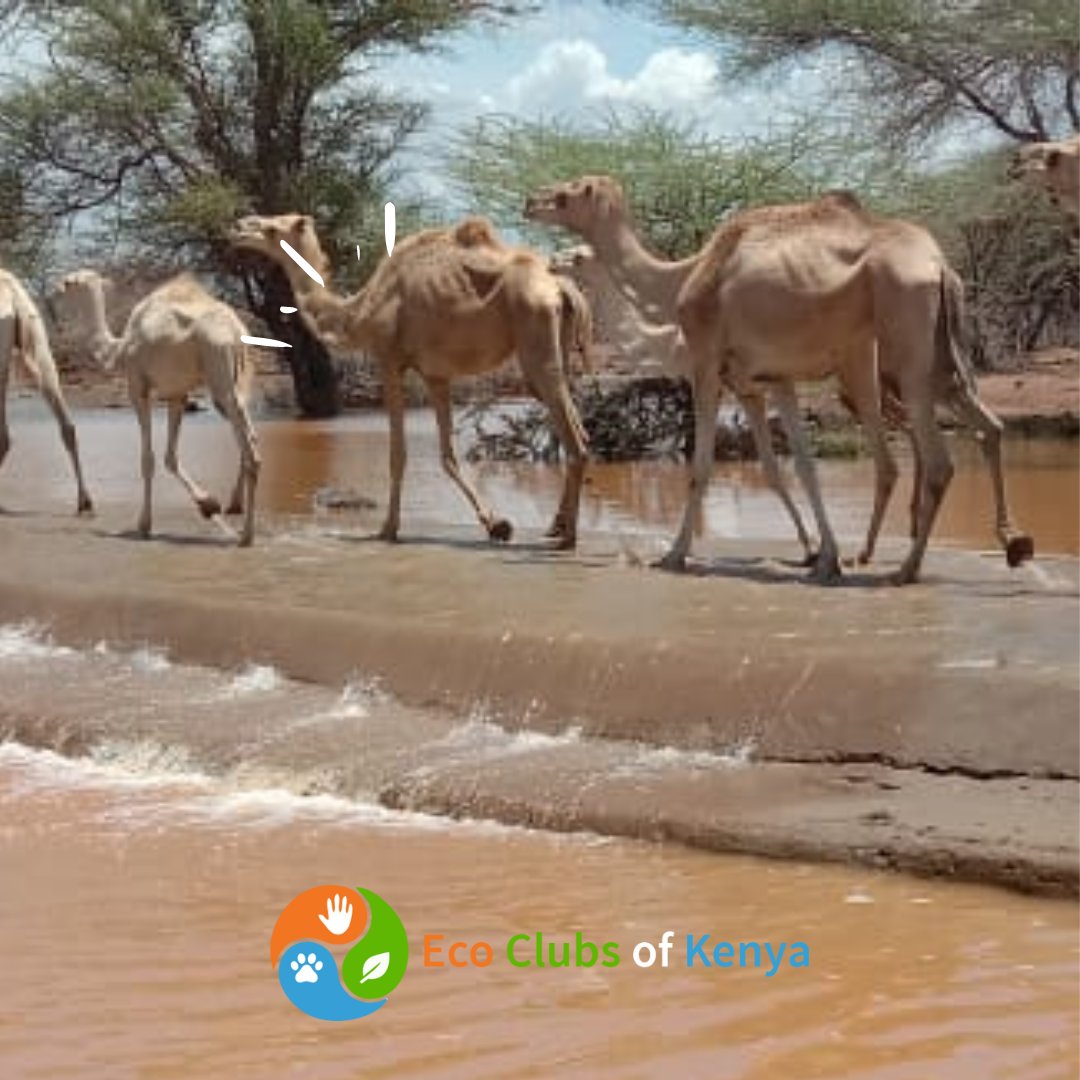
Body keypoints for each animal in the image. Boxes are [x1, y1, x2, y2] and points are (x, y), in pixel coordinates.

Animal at [55, 271, 260, 545]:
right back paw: (237, 513)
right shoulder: (177, 394)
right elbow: (170, 457)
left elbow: (148, 460)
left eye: (68, 284)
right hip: (239, 382)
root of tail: (237, 332)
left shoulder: (137, 386)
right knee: (251, 437)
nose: (55, 292)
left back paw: (246, 535)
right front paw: (208, 504)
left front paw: (144, 526)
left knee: (251, 453)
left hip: (220, 374)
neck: (120, 348)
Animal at [229, 213, 591, 548]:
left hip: (535, 336)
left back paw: (568, 537)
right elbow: (447, 455)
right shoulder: (436, 375)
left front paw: (387, 529)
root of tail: (561, 289)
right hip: (552, 350)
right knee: (577, 428)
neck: (361, 312)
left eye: (272, 228)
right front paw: (496, 525)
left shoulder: (389, 360)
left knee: (576, 441)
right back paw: (556, 526)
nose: (238, 227)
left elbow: (398, 454)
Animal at [525, 176, 1032, 584]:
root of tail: (939, 266)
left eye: (569, 193)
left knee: (935, 459)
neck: (682, 279)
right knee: (980, 430)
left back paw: (906, 568)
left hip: (903, 351)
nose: (531, 201)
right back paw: (1007, 543)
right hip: (935, 361)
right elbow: (801, 467)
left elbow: (703, 466)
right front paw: (823, 556)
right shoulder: (773, 378)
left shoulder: (709, 364)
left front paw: (674, 554)